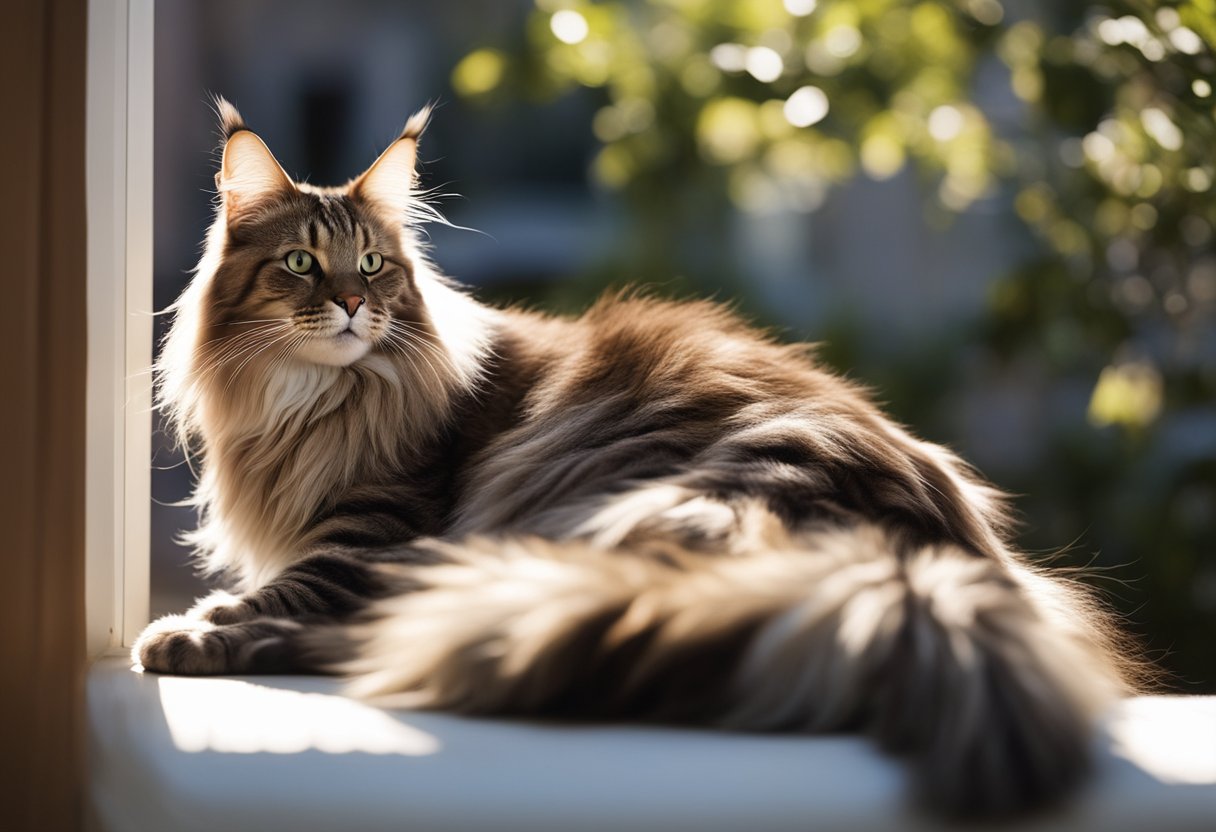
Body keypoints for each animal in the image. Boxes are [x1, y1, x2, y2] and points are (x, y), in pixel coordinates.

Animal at [138, 99, 1133, 817]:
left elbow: (286, 590)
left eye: (375, 265)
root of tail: (918, 553)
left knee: (387, 633)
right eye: (303, 264)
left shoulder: (371, 539)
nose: (351, 306)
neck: (312, 400)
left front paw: (195, 624)